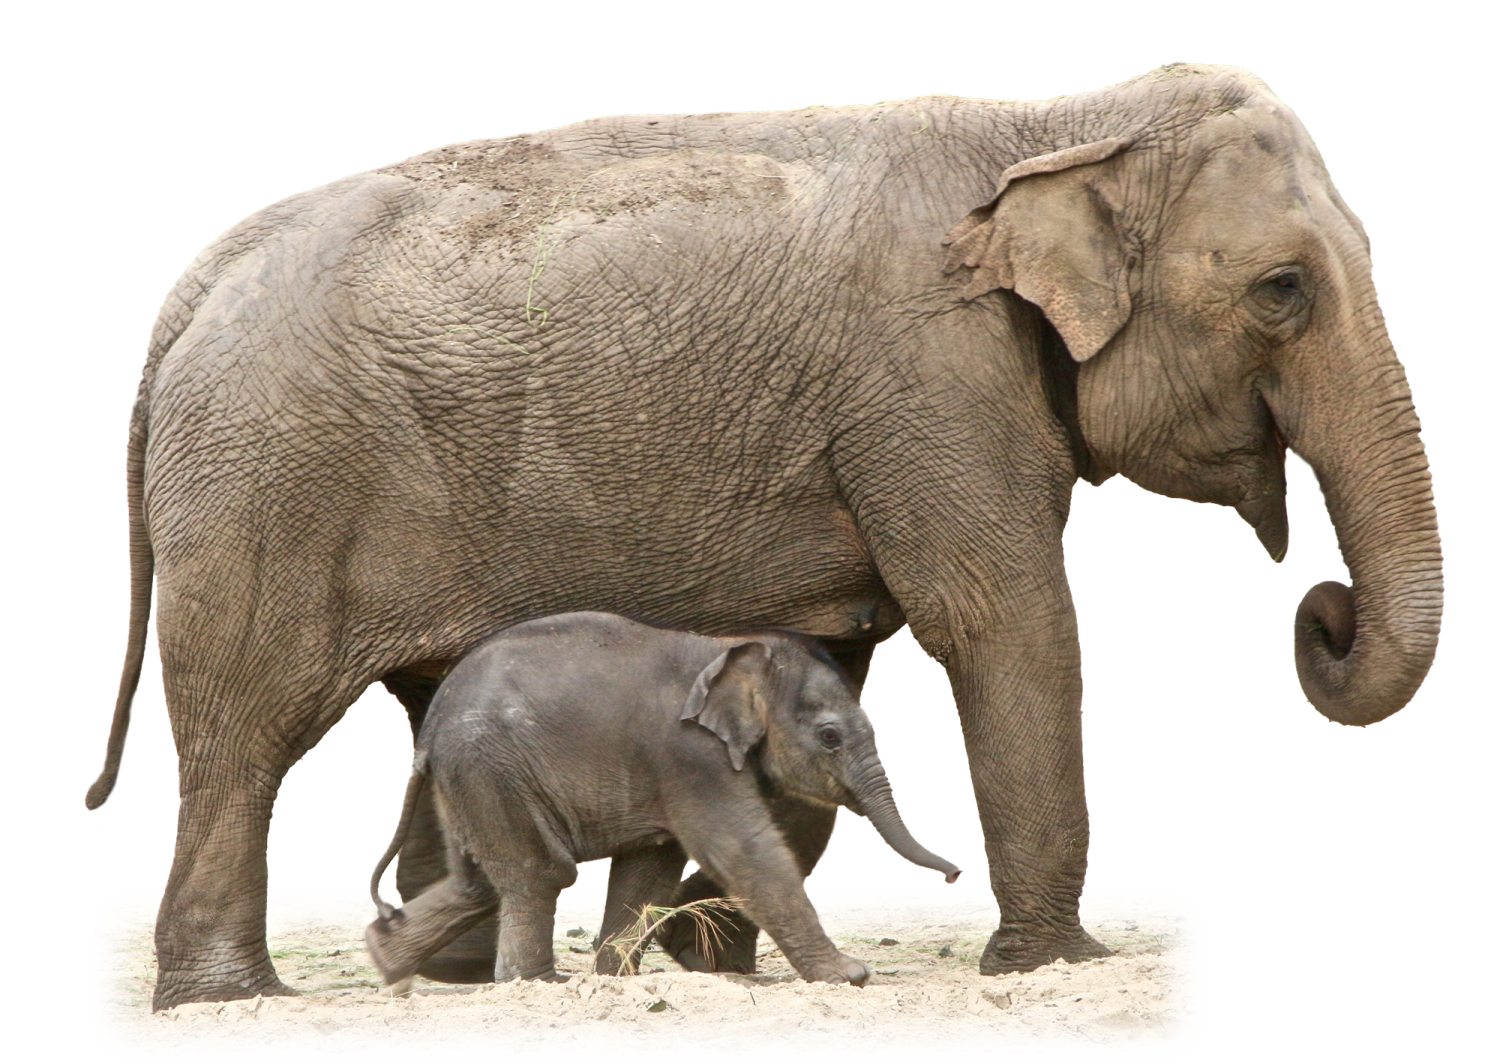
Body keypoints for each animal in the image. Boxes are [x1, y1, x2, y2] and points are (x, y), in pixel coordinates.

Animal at [361, 611, 962, 987]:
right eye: (830, 737)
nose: (956, 874)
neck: (732, 649)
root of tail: (429, 733)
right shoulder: (689, 756)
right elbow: (743, 850)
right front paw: (850, 977)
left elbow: (650, 868)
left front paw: (614, 981)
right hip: (491, 767)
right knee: (540, 872)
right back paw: (536, 984)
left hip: (472, 777)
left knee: (480, 882)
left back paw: (385, 962)